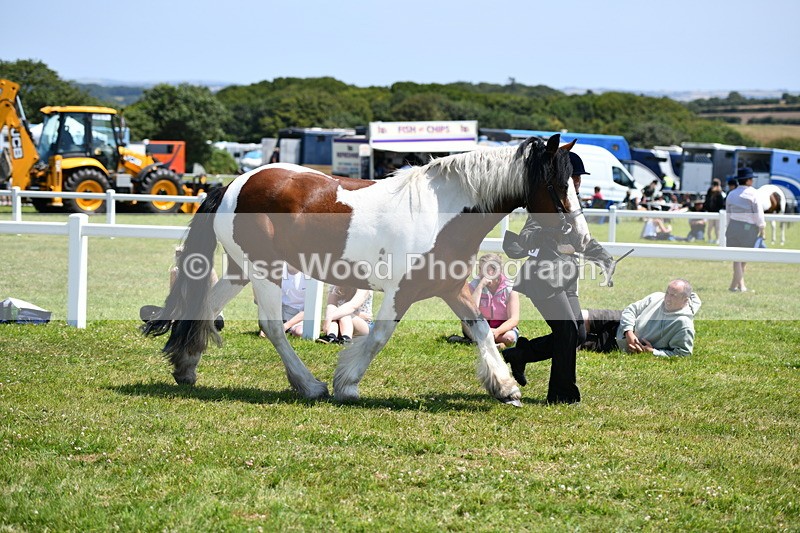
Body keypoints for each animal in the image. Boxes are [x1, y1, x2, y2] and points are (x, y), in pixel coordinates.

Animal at [143, 135, 591, 407]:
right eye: (557, 184)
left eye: (576, 183)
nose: (581, 235)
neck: (442, 212)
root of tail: (232, 185)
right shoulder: (401, 291)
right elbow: (378, 336)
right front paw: (347, 384)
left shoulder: (452, 287)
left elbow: (480, 330)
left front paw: (505, 387)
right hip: (264, 271)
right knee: (271, 326)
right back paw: (310, 385)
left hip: (240, 269)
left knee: (205, 307)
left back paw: (186, 367)